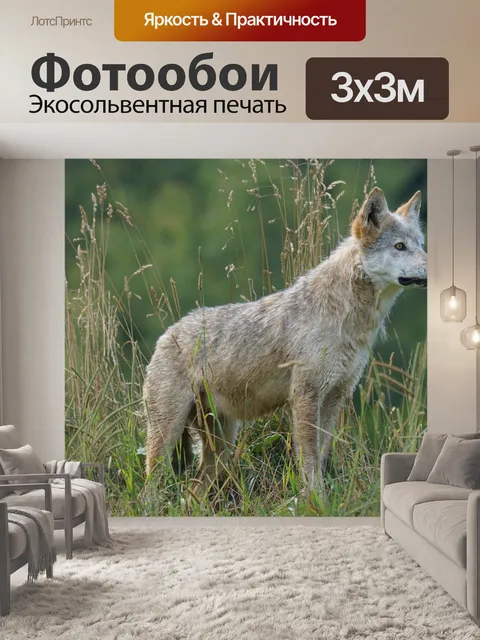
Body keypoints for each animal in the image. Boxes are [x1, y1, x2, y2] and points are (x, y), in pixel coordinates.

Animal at [143, 187, 427, 494]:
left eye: (421, 245)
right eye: (399, 246)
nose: (431, 267)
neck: (347, 318)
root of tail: (166, 335)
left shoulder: (335, 396)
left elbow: (321, 455)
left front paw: (318, 499)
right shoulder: (305, 395)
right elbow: (310, 461)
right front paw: (314, 499)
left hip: (220, 446)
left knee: (193, 491)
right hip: (168, 435)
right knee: (150, 488)